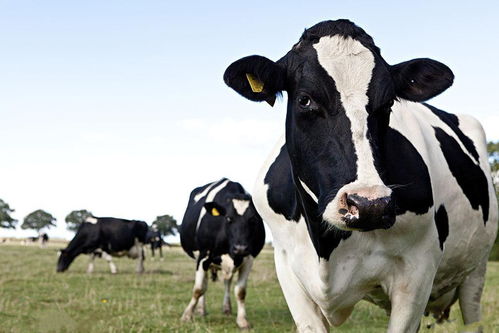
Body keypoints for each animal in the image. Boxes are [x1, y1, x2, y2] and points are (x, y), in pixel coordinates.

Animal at [180, 178, 266, 328]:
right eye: (228, 218)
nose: (240, 248)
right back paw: (201, 310)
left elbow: (241, 291)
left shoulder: (249, 258)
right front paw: (187, 315)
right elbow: (198, 289)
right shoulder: (203, 256)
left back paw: (226, 308)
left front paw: (242, 320)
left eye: (253, 220)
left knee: (227, 282)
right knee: (205, 283)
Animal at [225, 19, 498, 332]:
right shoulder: (287, 269)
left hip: (475, 272)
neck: (327, 248)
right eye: (305, 100)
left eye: (389, 103)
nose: (370, 205)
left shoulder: (417, 272)